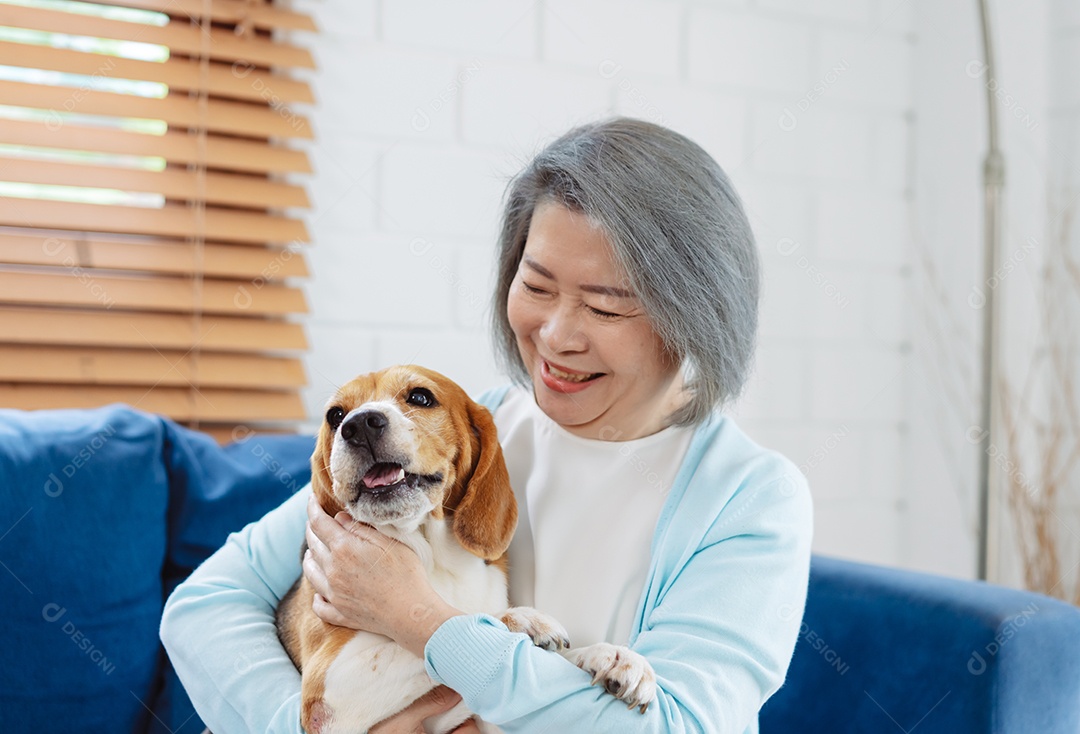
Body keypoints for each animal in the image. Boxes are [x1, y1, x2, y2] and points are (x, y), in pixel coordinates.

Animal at [274, 367, 652, 734]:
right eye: (335, 415)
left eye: (420, 397)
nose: (358, 424)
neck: (432, 557)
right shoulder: (326, 696)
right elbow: (453, 631)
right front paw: (523, 621)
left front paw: (612, 657)